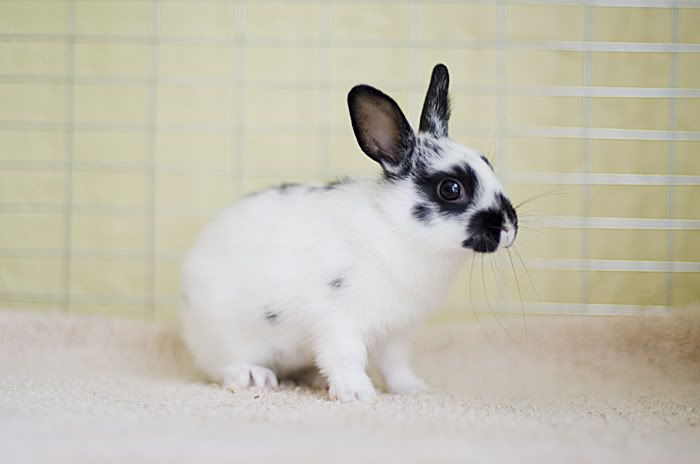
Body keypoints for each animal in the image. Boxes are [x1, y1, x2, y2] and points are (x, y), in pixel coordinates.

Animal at [180, 64, 518, 402]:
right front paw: (357, 394)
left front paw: (413, 389)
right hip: (224, 337)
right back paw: (253, 378)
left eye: (487, 163)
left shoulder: (394, 333)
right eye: (451, 189)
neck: (396, 229)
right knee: (218, 367)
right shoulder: (339, 320)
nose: (508, 226)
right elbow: (344, 357)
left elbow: (395, 365)